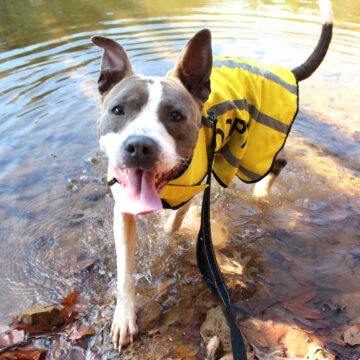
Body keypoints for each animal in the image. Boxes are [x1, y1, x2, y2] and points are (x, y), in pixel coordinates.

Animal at [91, 0, 334, 352]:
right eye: (118, 110)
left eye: (176, 116)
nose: (139, 147)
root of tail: (283, 71)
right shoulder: (122, 211)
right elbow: (125, 270)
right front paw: (124, 317)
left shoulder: (191, 189)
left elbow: (172, 227)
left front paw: (171, 235)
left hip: (254, 151)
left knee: (277, 164)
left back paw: (261, 195)